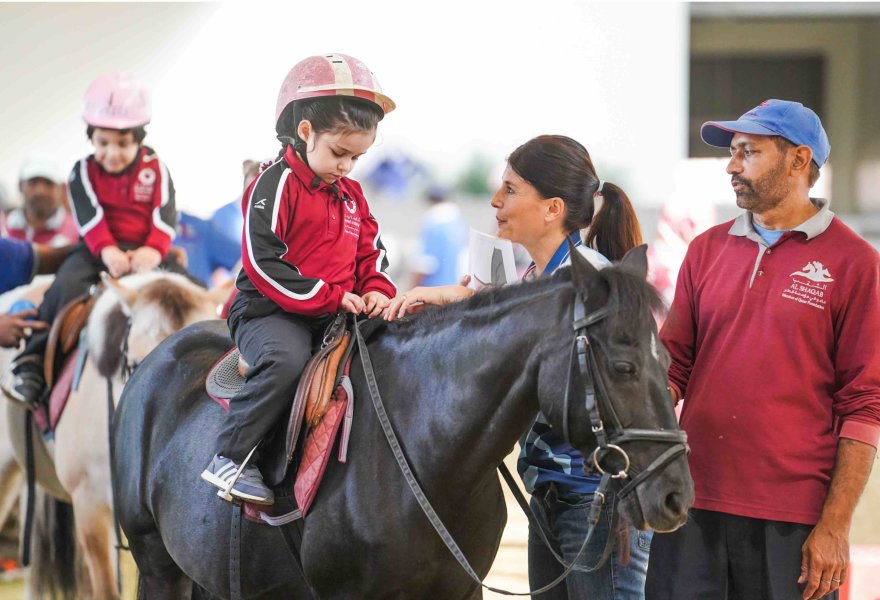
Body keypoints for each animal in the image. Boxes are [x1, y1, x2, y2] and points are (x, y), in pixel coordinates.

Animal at [111, 246, 696, 596]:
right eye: (623, 367)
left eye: (667, 360)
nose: (676, 496)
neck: (429, 457)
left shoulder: (459, 590)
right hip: (156, 564)